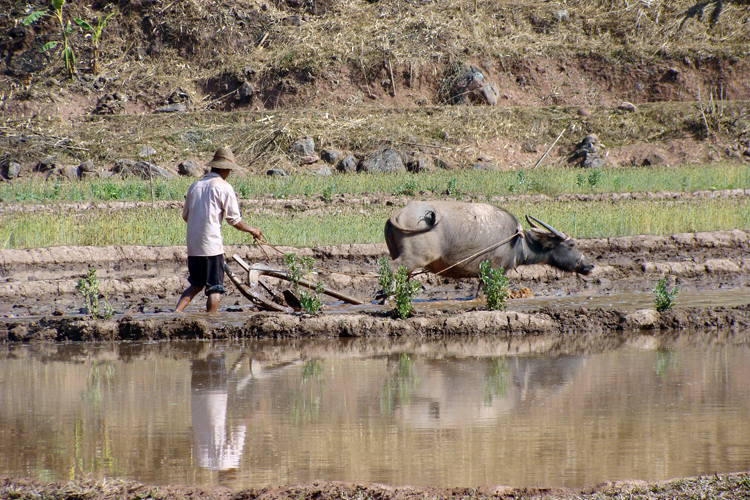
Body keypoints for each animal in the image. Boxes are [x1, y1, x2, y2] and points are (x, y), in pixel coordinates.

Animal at [384, 199, 596, 278]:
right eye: (571, 244)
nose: (590, 265)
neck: (516, 241)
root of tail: (398, 214)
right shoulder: (495, 270)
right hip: (413, 258)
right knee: (392, 268)